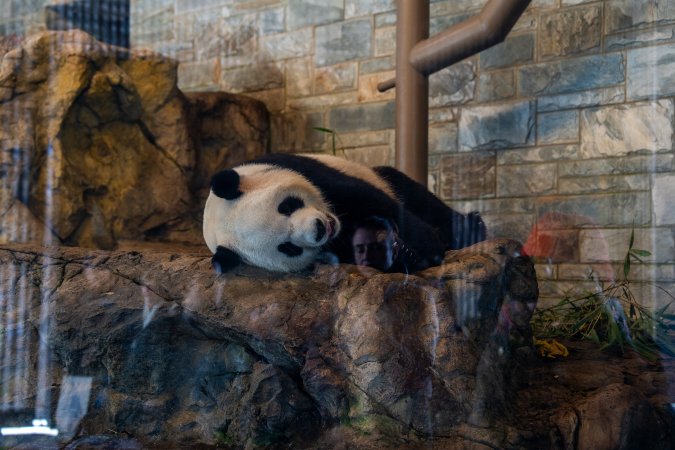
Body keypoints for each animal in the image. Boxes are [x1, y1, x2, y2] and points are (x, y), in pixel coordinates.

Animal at [203, 153, 486, 273]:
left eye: (286, 206)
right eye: (288, 248)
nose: (319, 228)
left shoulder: (301, 168)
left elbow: (367, 197)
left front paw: (428, 245)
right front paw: (400, 254)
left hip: (378, 174)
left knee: (409, 190)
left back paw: (470, 228)